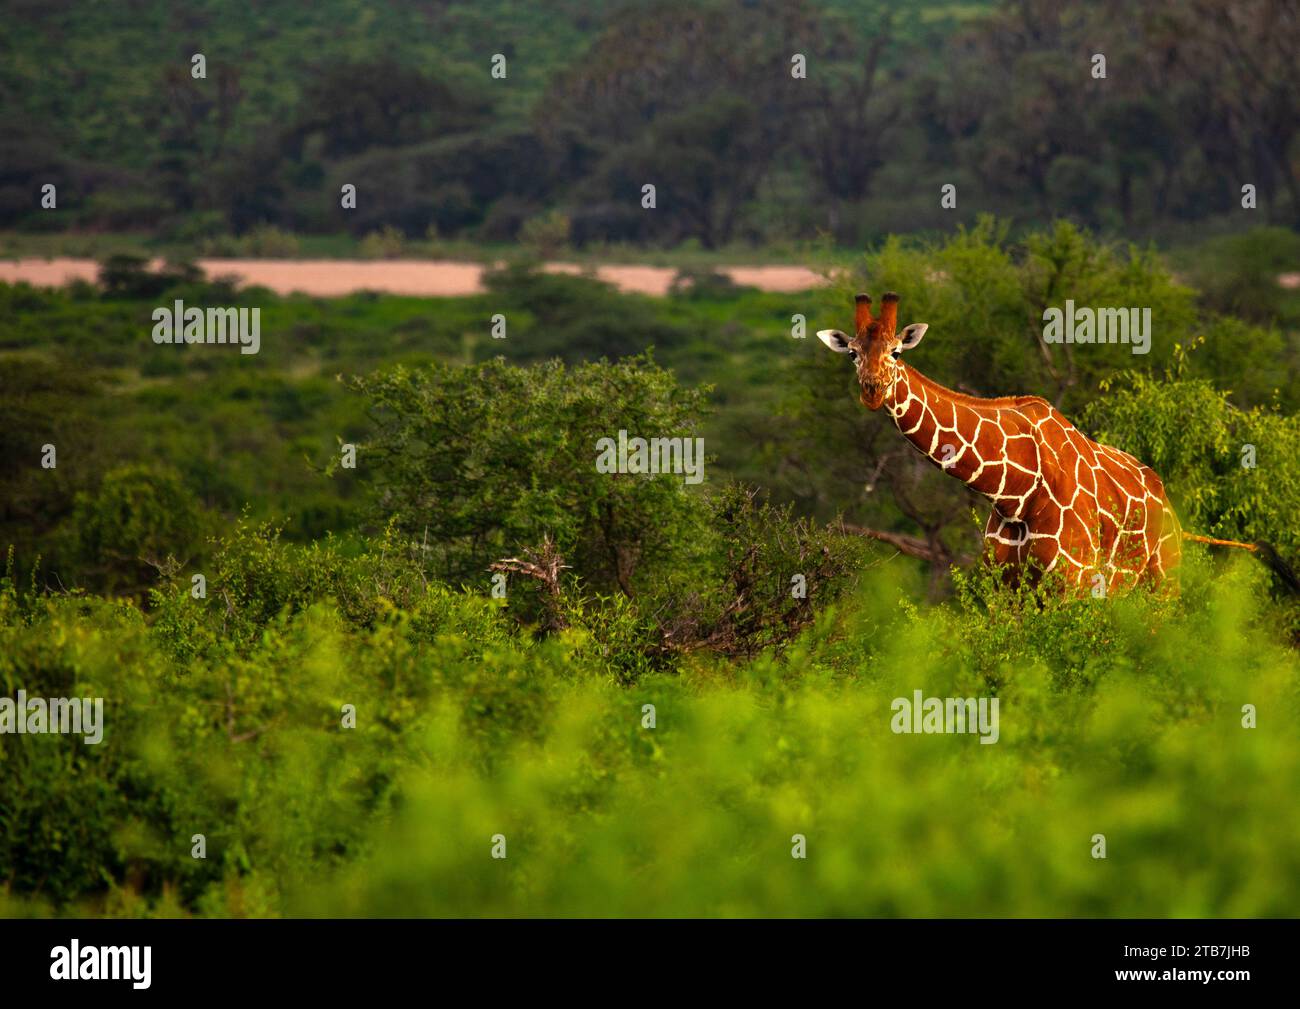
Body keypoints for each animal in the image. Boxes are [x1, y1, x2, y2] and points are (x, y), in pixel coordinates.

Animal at [821, 291, 1190, 590]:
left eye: (896, 352)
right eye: (852, 353)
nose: (872, 389)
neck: (1015, 492)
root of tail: (1167, 501)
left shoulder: (1073, 583)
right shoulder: (1004, 588)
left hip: (1163, 582)